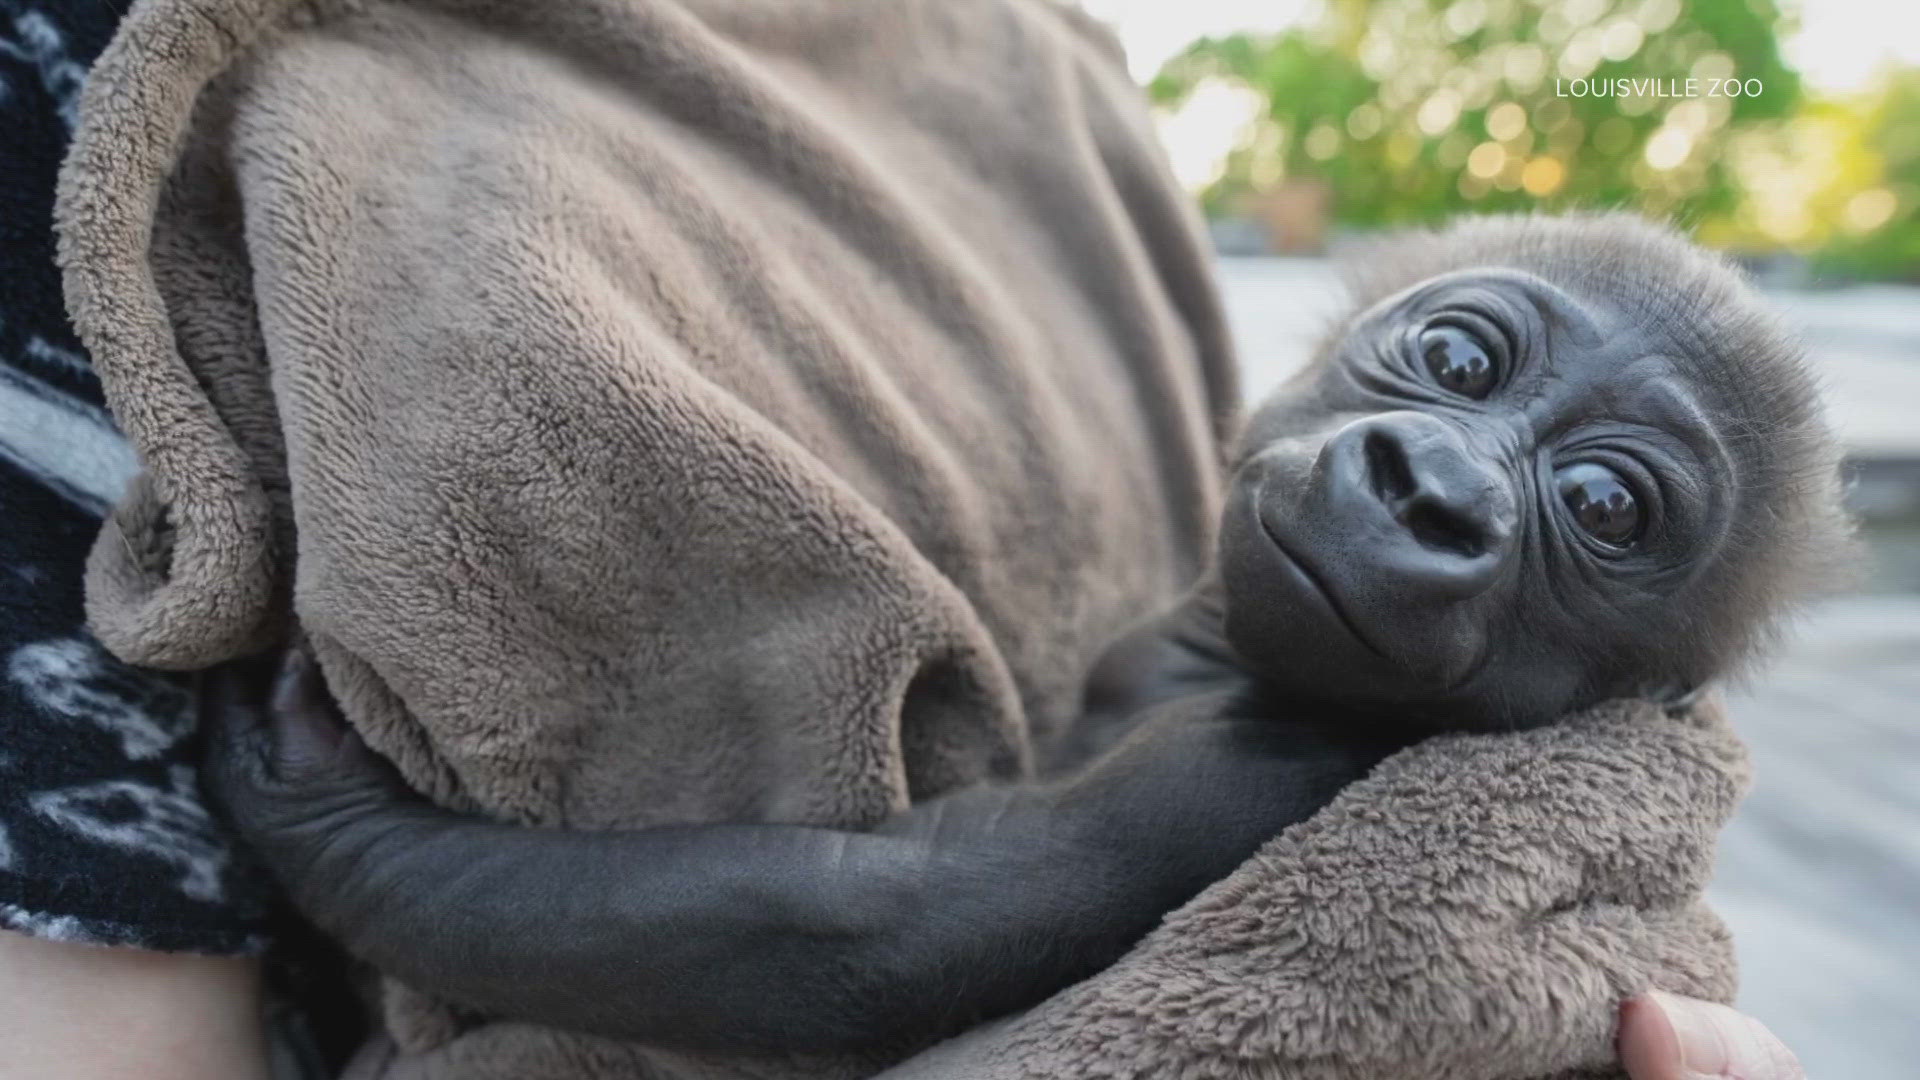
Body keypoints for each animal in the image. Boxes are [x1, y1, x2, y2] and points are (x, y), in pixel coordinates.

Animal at [202, 210, 1850, 1053]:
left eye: (1604, 507)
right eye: (1457, 360)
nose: (1430, 487)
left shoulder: (1256, 772)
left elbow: (862, 936)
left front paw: (326, 818)